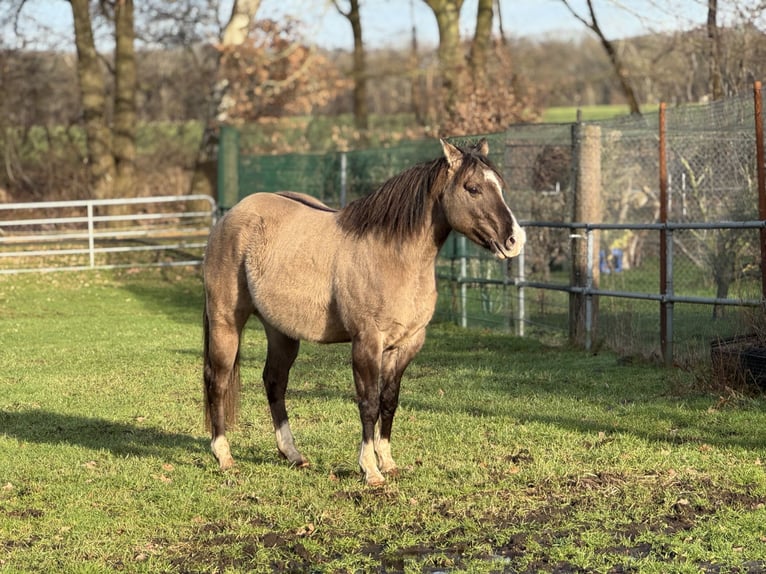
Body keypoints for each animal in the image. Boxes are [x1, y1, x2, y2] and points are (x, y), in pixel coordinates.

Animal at [202, 138, 526, 485]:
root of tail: (229, 218)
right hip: (225, 323)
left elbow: (389, 401)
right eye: (473, 187)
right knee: (218, 381)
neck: (393, 256)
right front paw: (369, 469)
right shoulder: (367, 343)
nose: (514, 240)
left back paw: (293, 454)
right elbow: (368, 403)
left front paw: (388, 461)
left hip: (281, 333)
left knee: (275, 382)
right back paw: (224, 456)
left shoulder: (406, 344)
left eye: (500, 186)